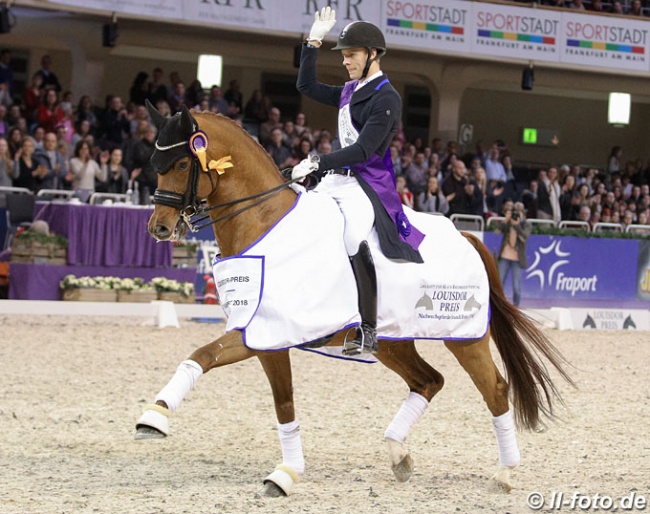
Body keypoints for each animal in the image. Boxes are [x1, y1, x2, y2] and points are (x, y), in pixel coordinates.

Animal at [134, 102, 568, 494]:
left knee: (494, 388)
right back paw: (398, 455)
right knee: (429, 380)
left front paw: (282, 473)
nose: (159, 228)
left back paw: (505, 473)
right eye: (155, 162)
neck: (265, 223)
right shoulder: (259, 333)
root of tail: (467, 236)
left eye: (182, 165)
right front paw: (155, 417)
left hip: (466, 337)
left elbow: (256, 385)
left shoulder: (267, 333)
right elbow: (214, 364)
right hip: (393, 341)